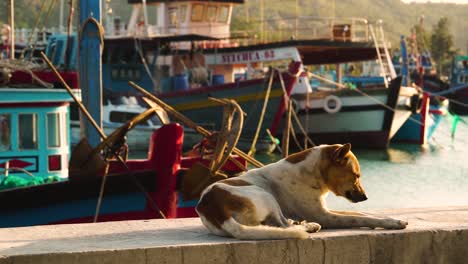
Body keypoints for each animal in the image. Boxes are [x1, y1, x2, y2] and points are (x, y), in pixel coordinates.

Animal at [196, 143, 408, 240]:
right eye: (356, 175)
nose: (365, 197)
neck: (312, 171)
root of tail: (213, 208)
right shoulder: (325, 216)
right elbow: (359, 218)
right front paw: (392, 223)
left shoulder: (326, 211)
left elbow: (364, 214)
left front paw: (389, 219)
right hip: (264, 195)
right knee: (283, 226)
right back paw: (307, 226)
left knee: (278, 225)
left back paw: (299, 224)